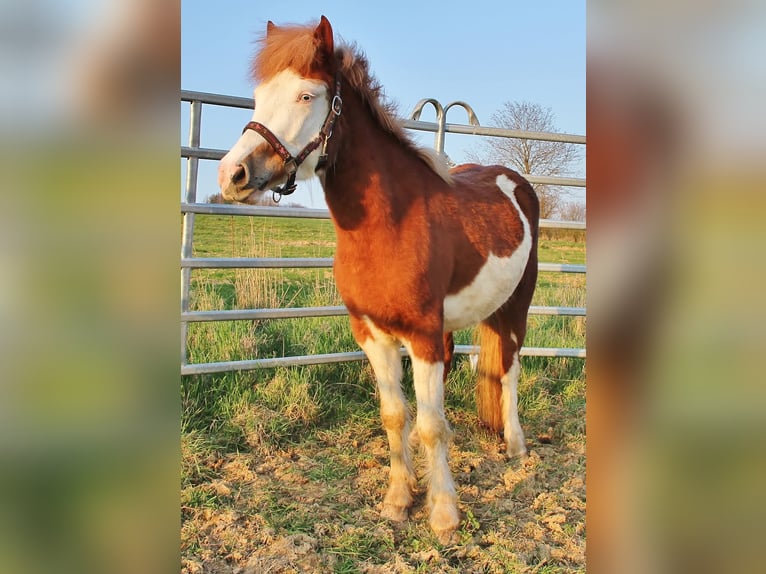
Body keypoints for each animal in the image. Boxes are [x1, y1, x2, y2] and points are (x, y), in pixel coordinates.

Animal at [217, 16, 539, 543]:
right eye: (260, 95)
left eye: (307, 95)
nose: (233, 174)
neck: (389, 226)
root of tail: (514, 180)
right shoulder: (371, 334)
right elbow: (395, 416)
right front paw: (398, 500)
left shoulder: (422, 335)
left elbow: (430, 425)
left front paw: (444, 515)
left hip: (515, 305)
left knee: (508, 369)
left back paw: (515, 445)